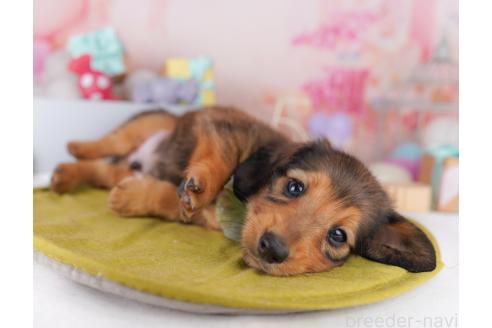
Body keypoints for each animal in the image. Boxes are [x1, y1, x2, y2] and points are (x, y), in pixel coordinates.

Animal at [49, 106, 434, 276]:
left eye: (338, 235)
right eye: (293, 186)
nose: (271, 249)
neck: (236, 207)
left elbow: (168, 199)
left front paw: (130, 198)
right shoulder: (225, 128)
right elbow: (217, 163)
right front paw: (199, 187)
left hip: (121, 164)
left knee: (104, 170)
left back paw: (68, 175)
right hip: (152, 122)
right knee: (108, 142)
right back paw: (76, 148)